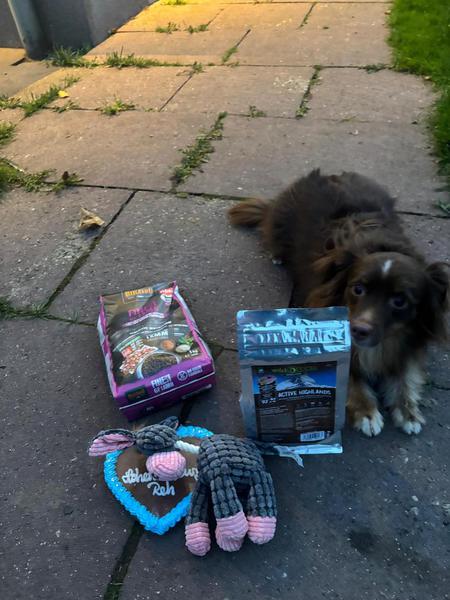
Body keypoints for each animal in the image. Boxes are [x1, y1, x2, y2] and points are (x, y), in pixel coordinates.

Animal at [228, 170, 448, 437]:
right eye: (358, 288)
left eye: (400, 301)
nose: (359, 330)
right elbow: (349, 374)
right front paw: (366, 412)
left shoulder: (411, 340)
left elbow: (406, 374)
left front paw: (408, 410)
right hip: (282, 224)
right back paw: (277, 254)